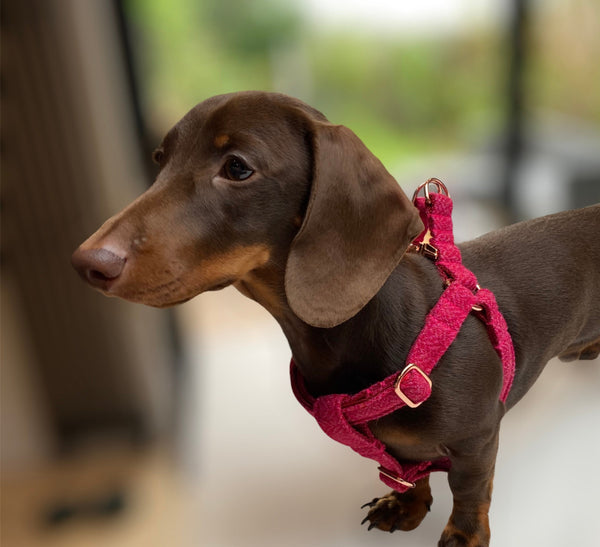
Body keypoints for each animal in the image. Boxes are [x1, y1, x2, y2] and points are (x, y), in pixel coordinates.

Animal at [71, 92, 600, 544]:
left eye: (237, 167)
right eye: (160, 160)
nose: (86, 263)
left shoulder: (478, 441)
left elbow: (470, 496)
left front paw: (462, 537)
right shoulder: (404, 449)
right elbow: (408, 471)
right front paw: (407, 506)